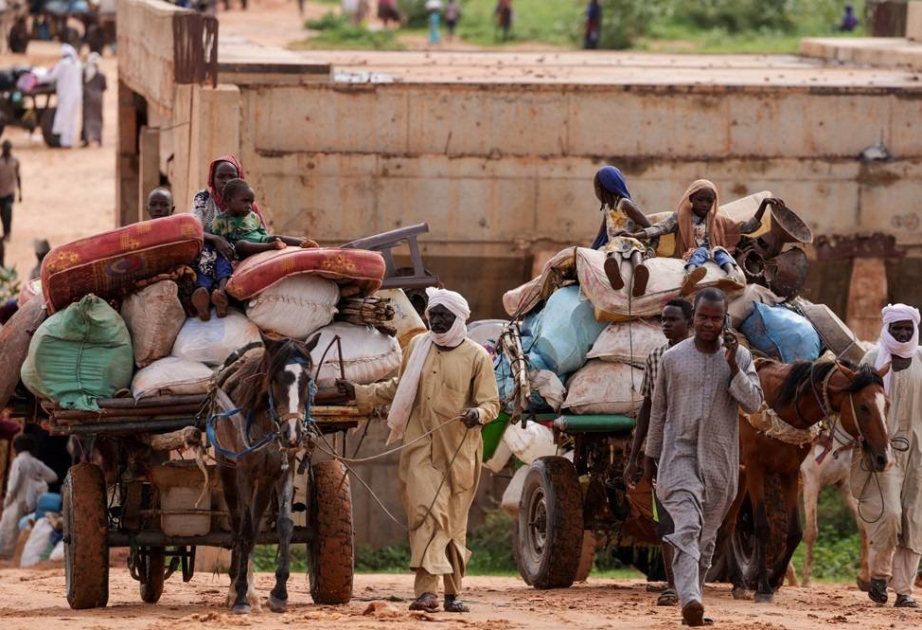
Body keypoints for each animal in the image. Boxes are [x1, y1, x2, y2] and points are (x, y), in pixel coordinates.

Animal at [211, 336, 318, 616]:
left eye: (307, 379)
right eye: (276, 378)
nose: (293, 434)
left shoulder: (281, 469)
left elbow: (284, 525)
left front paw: (279, 593)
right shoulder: (245, 471)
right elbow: (245, 529)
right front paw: (239, 597)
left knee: (256, 522)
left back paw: (249, 588)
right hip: (226, 467)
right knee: (239, 524)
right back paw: (236, 589)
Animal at [724, 360, 892, 604]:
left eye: (887, 404)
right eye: (863, 407)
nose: (884, 459)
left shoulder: (796, 474)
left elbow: (798, 531)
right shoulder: (765, 470)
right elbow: (768, 528)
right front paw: (768, 586)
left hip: (740, 473)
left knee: (729, 522)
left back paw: (739, 582)